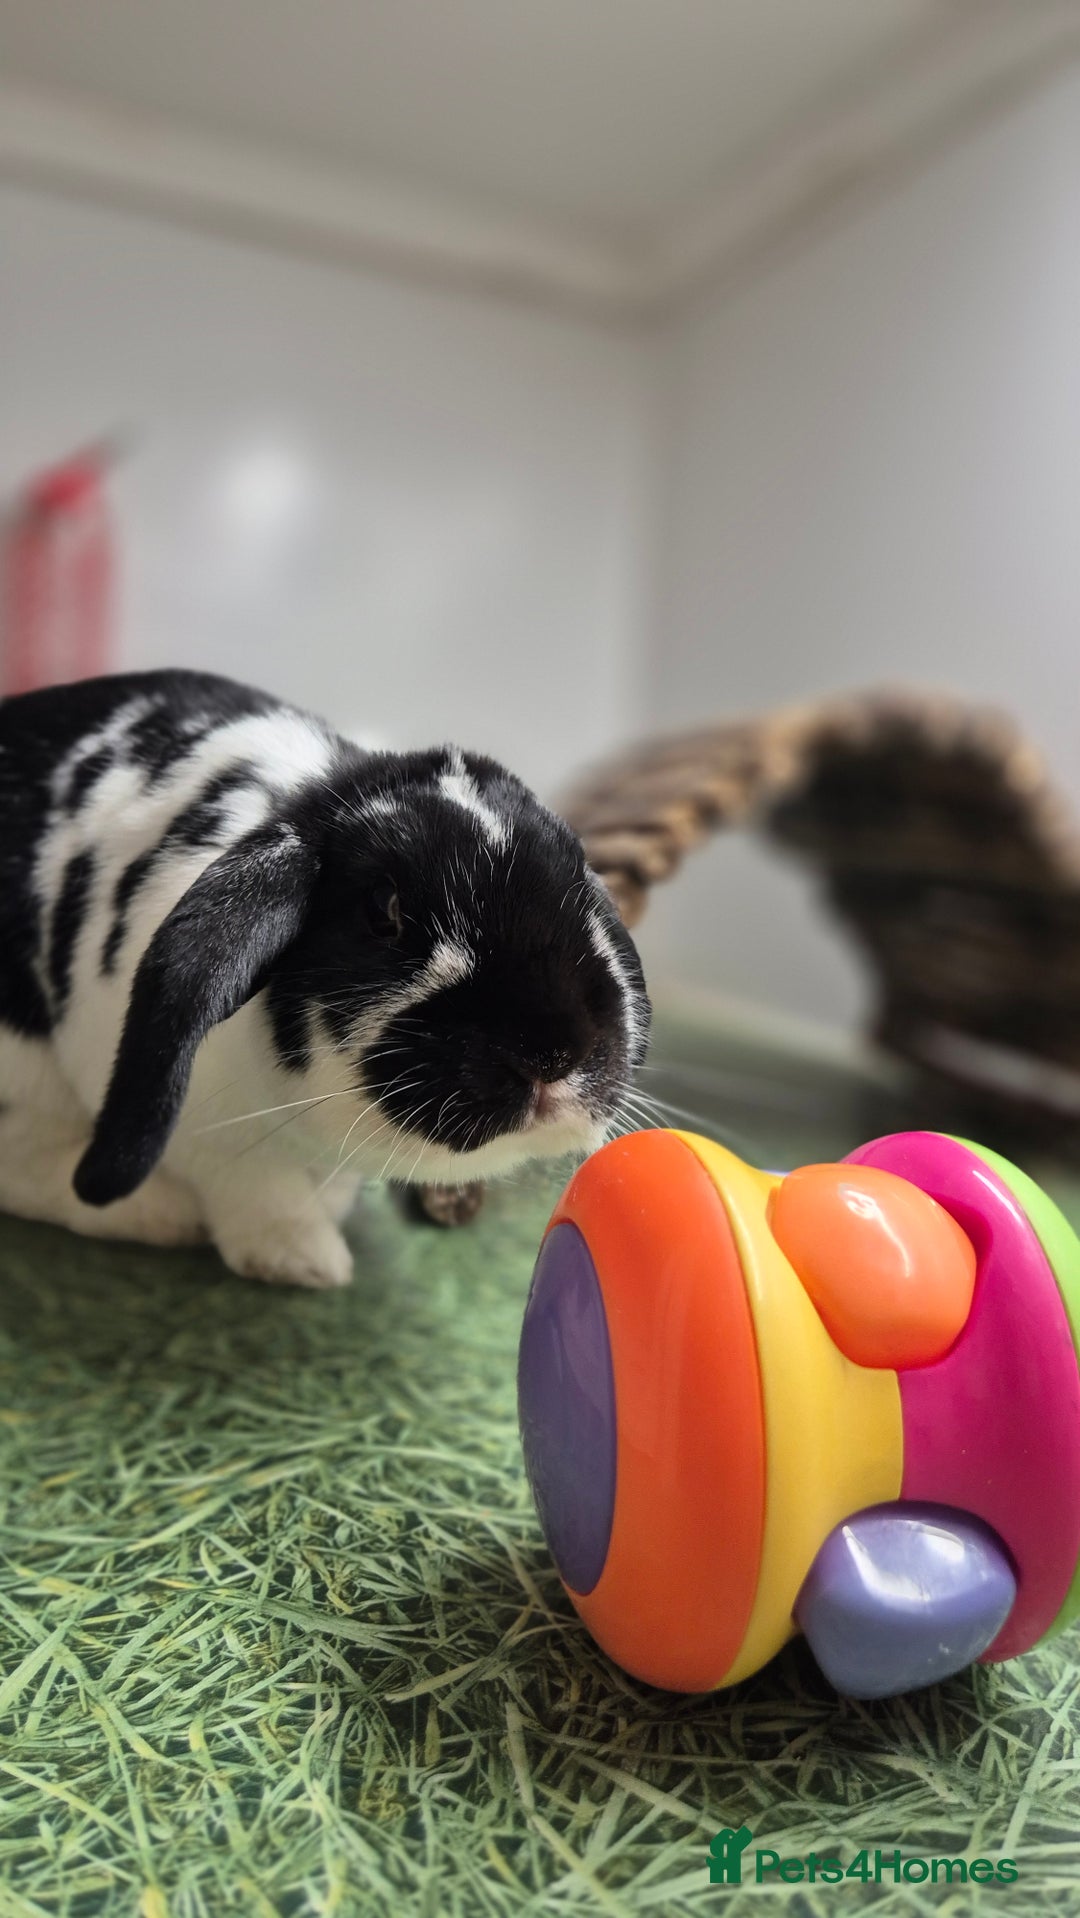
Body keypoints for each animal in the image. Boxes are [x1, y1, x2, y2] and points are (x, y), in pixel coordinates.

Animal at [0, 670, 649, 1288]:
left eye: (581, 880)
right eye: (383, 910)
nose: (553, 1053)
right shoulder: (207, 1137)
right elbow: (260, 1189)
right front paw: (306, 1262)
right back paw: (160, 1216)